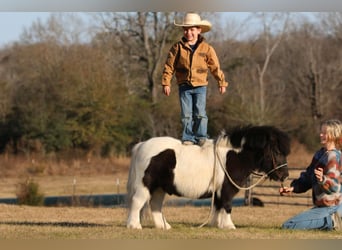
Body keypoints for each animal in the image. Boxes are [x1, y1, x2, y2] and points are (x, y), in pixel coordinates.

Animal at [126, 126, 292, 229]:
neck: (233, 156)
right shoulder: (226, 189)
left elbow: (218, 207)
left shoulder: (218, 191)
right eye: (277, 152)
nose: (285, 175)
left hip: (159, 188)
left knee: (155, 205)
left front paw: (216, 224)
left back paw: (164, 226)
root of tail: (142, 145)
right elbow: (227, 206)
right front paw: (229, 226)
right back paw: (134, 225)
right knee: (137, 201)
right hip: (145, 185)